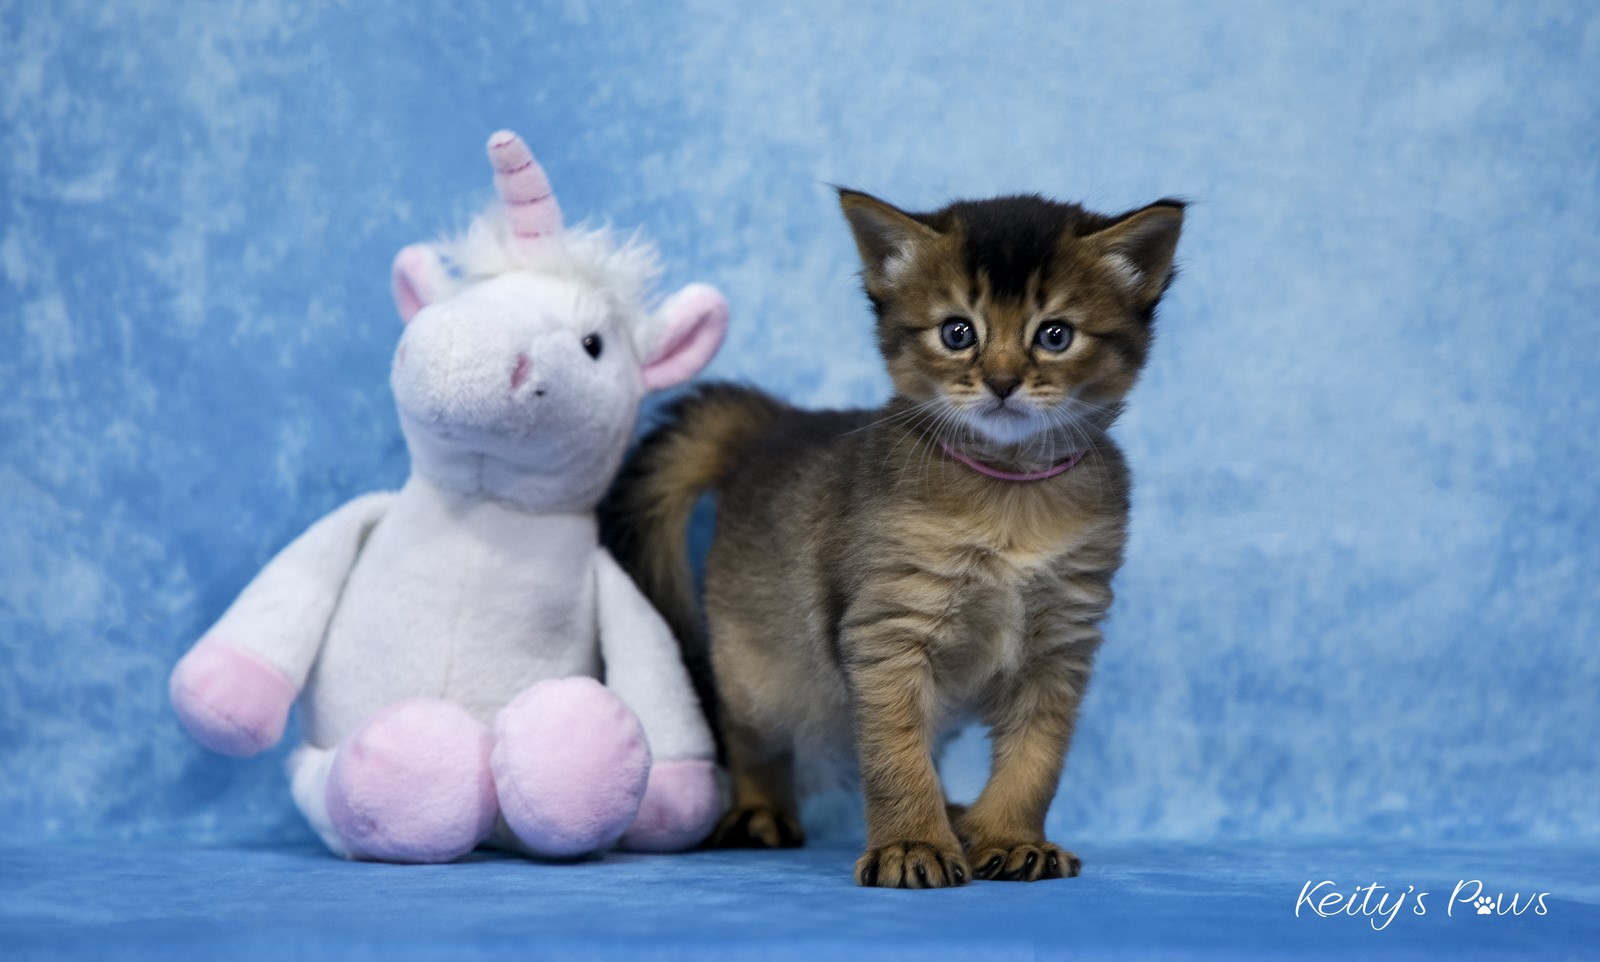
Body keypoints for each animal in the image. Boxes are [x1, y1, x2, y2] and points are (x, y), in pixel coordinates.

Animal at [605, 187, 1183, 888]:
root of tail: (776, 422)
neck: (1010, 495)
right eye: (958, 332)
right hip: (759, 670)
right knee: (747, 737)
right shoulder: (889, 633)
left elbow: (1035, 759)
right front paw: (912, 845)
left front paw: (1011, 837)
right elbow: (895, 756)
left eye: (1055, 335)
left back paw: (961, 816)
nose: (1002, 382)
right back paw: (759, 811)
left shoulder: (1061, 646)